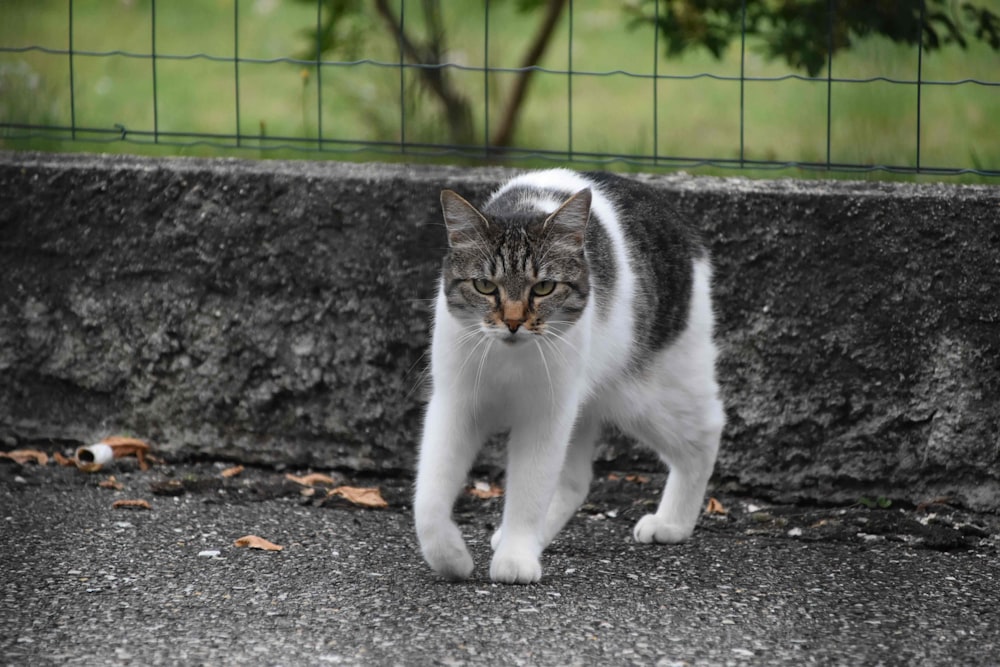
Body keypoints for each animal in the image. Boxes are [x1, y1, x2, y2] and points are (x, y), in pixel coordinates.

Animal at [410, 168, 724, 584]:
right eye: (484, 286)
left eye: (544, 287)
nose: (513, 322)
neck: (510, 358)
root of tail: (676, 218)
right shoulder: (455, 403)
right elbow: (428, 499)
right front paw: (451, 558)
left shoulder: (547, 413)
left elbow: (530, 488)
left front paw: (516, 558)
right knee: (576, 480)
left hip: (648, 392)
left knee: (705, 434)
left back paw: (672, 522)